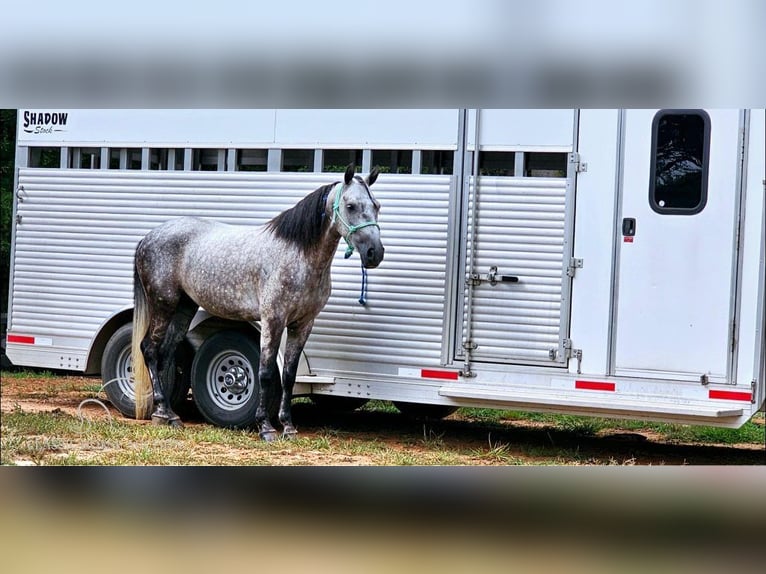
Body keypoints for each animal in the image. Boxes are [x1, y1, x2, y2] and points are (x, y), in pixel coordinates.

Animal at [134, 164, 384, 444]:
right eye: (351, 206)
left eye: (376, 205)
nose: (375, 253)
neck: (297, 255)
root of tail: (148, 238)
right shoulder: (273, 319)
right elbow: (265, 373)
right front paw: (265, 427)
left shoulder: (303, 324)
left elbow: (289, 375)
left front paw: (288, 427)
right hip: (163, 304)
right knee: (150, 349)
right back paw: (162, 410)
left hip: (183, 307)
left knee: (166, 352)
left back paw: (169, 414)